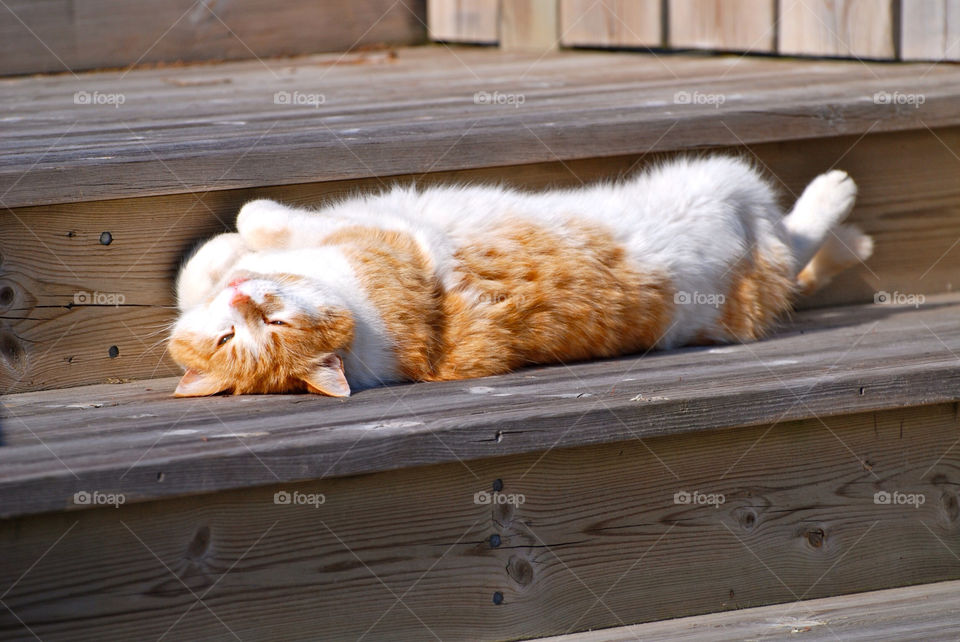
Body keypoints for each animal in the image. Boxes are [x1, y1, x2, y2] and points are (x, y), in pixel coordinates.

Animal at [169, 155, 872, 396]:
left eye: (272, 322)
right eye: (236, 339)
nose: (243, 297)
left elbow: (228, 243)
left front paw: (228, 249)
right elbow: (250, 231)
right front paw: (238, 247)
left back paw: (850, 229)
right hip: (726, 188)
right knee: (792, 241)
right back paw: (841, 208)